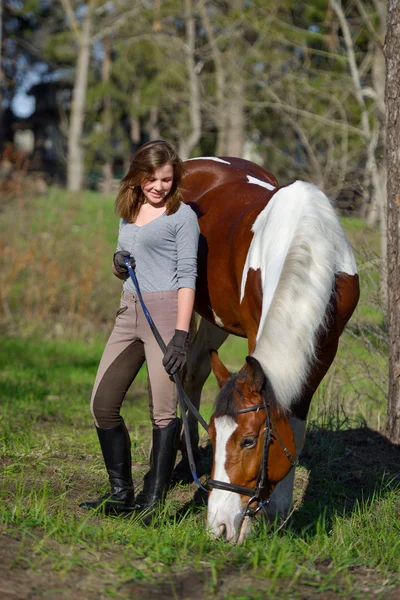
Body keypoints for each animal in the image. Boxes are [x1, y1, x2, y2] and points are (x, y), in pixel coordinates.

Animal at [178, 157, 360, 540]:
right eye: (214, 434)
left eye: (249, 441)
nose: (219, 526)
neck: (310, 240)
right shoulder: (255, 332)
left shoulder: (326, 348)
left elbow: (294, 424)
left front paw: (277, 510)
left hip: (215, 321)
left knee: (194, 372)